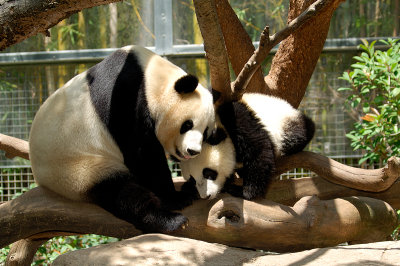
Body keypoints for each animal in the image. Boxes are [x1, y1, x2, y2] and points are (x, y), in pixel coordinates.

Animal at [29, 45, 216, 233]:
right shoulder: (125, 99)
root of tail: (41, 178)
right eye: (187, 125)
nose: (193, 151)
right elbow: (143, 156)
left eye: (206, 132)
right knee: (123, 193)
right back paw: (169, 221)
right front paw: (177, 198)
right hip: (79, 168)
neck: (152, 78)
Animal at [180, 93, 314, 200]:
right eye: (192, 179)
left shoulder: (238, 120)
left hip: (285, 122)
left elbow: (259, 151)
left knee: (298, 134)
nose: (206, 196)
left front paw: (243, 192)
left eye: (209, 174)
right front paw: (187, 190)